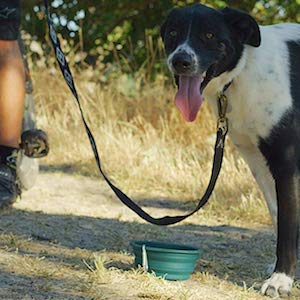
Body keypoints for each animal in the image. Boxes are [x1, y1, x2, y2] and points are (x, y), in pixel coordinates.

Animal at [162, 3, 300, 298]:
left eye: (210, 35)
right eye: (173, 32)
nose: (181, 61)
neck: (245, 70)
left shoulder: (287, 163)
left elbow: (288, 222)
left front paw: (281, 279)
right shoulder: (259, 162)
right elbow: (279, 216)